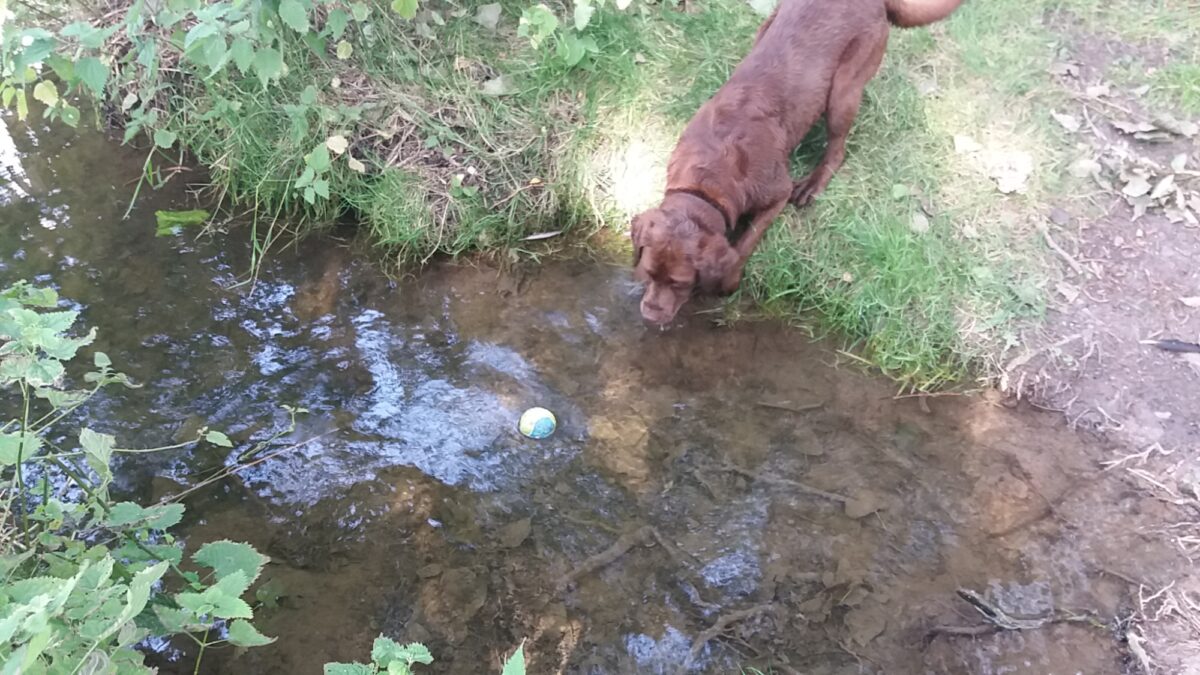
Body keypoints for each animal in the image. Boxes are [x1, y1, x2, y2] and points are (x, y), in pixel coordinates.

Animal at [633, 0, 960, 326]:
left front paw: (729, 281)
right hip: (768, 26)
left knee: (837, 149)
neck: (706, 182)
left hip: (843, 90)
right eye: (648, 273)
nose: (649, 316)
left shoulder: (778, 192)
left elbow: (746, 242)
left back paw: (812, 185)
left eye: (680, 283)